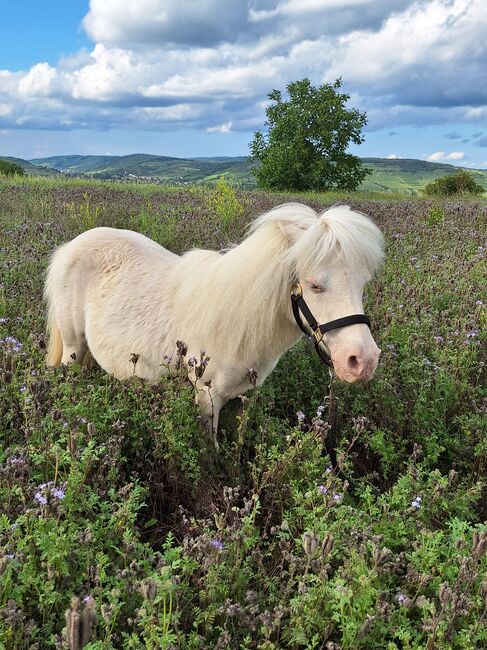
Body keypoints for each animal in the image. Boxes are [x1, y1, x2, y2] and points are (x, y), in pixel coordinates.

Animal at [44, 202, 386, 430]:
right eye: (315, 285)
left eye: (362, 284)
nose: (363, 361)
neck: (243, 320)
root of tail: (70, 246)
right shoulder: (207, 398)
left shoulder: (245, 396)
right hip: (73, 349)